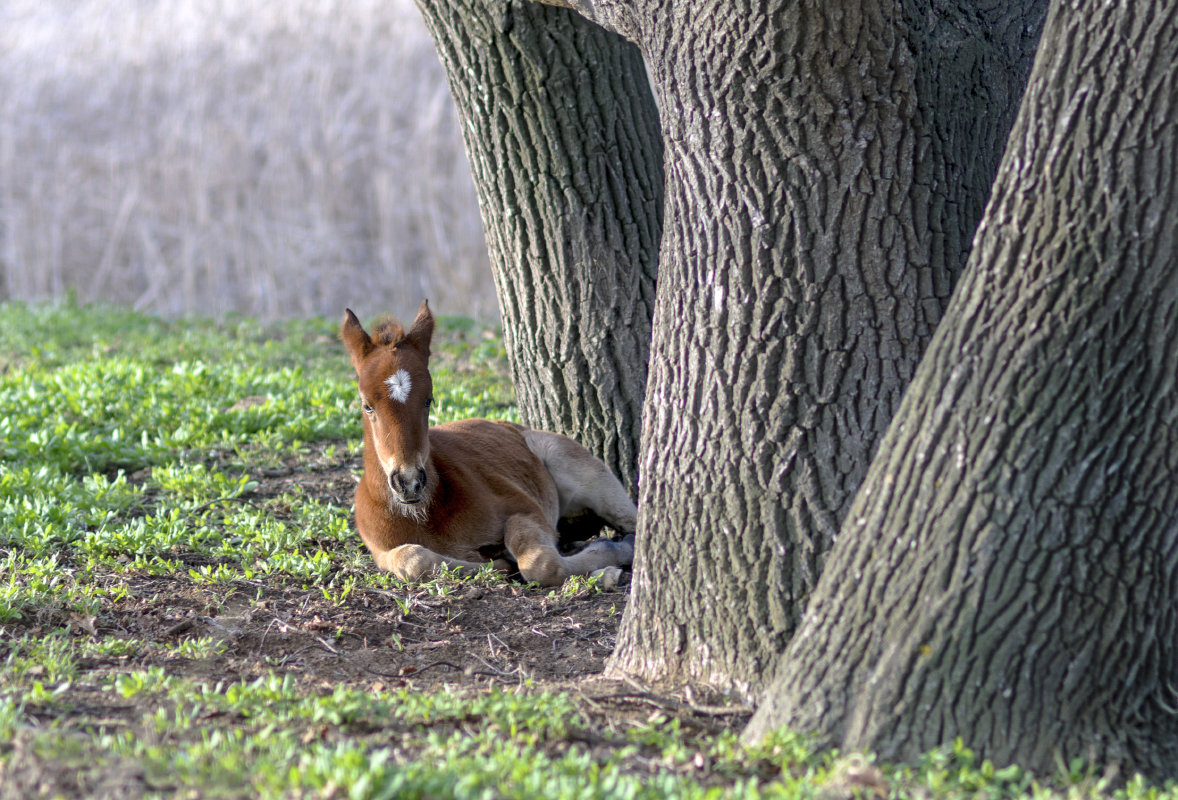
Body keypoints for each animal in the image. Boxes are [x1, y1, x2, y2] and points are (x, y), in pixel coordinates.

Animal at [341, 303, 636, 584]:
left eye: (428, 400)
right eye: (367, 406)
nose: (409, 482)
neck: (424, 515)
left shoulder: (525, 508)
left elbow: (540, 563)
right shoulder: (381, 551)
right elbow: (415, 560)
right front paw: (497, 564)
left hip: (577, 466)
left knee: (633, 521)